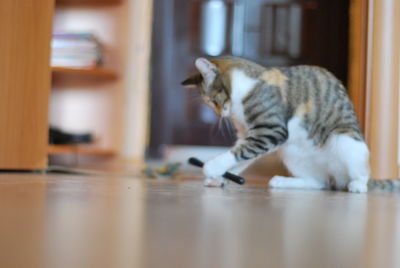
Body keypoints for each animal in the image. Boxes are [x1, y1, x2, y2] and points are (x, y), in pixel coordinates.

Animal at [182, 56, 400, 193]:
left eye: (213, 101)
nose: (220, 114)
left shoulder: (270, 131)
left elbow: (239, 153)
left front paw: (211, 166)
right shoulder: (249, 134)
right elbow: (240, 156)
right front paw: (219, 177)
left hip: (346, 142)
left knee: (361, 173)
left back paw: (358, 185)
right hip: (292, 153)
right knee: (319, 183)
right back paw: (281, 181)